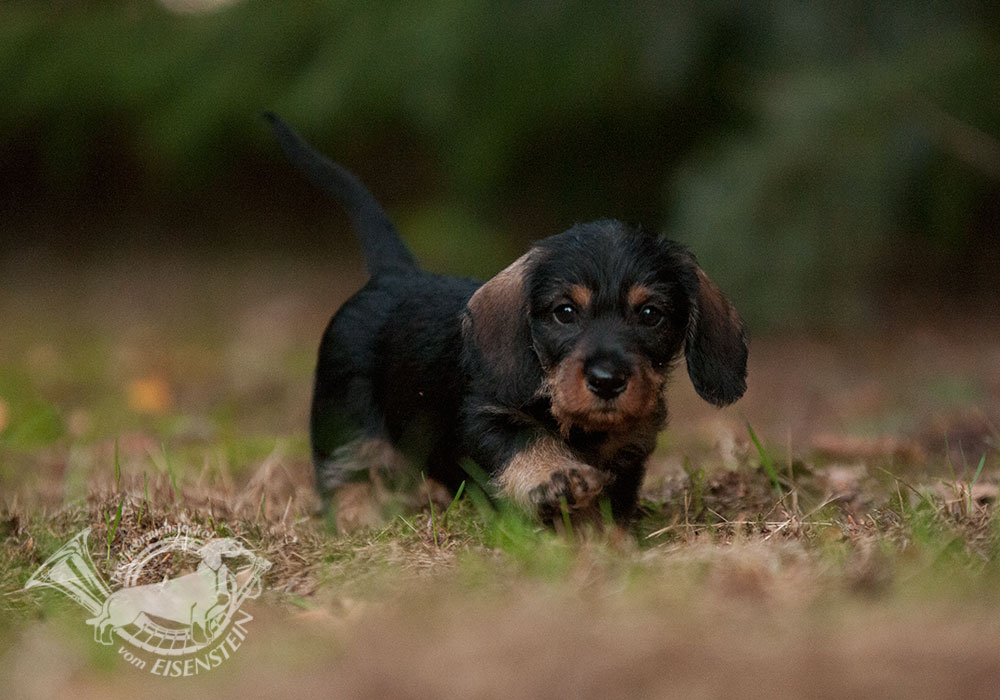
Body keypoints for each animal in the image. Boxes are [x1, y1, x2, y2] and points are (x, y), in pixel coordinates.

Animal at [266, 113, 748, 528]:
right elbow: (528, 442)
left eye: (651, 315)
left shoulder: (629, 447)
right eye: (564, 312)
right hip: (344, 424)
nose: (607, 381)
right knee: (349, 477)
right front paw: (557, 477)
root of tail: (393, 273)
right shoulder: (486, 418)